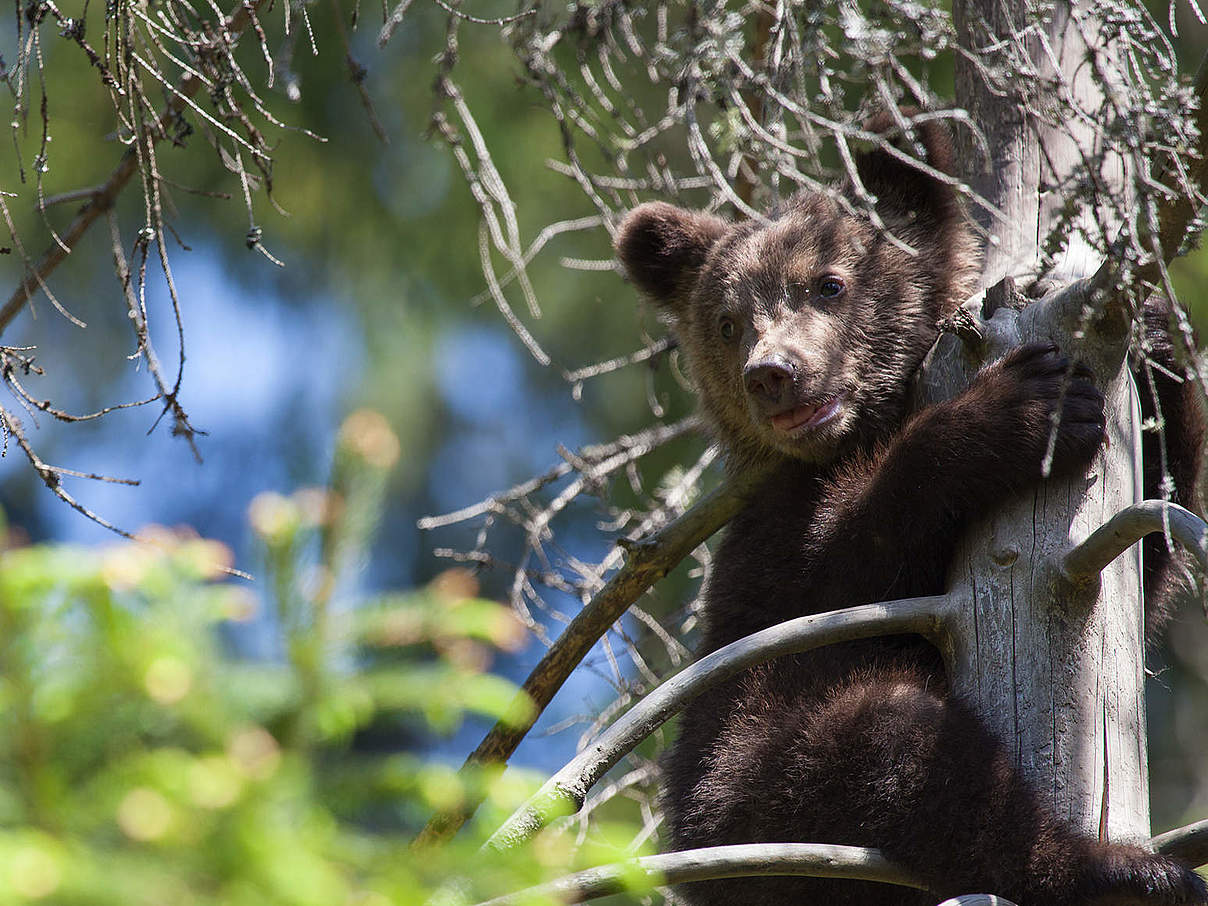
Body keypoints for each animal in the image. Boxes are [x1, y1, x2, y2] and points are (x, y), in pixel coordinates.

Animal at [618, 120, 1203, 906]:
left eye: (828, 284)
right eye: (728, 321)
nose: (773, 373)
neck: (861, 430)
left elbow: (1150, 560)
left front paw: (1155, 337)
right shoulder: (769, 539)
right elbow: (836, 570)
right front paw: (1021, 409)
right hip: (745, 785)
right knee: (899, 747)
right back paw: (1112, 868)